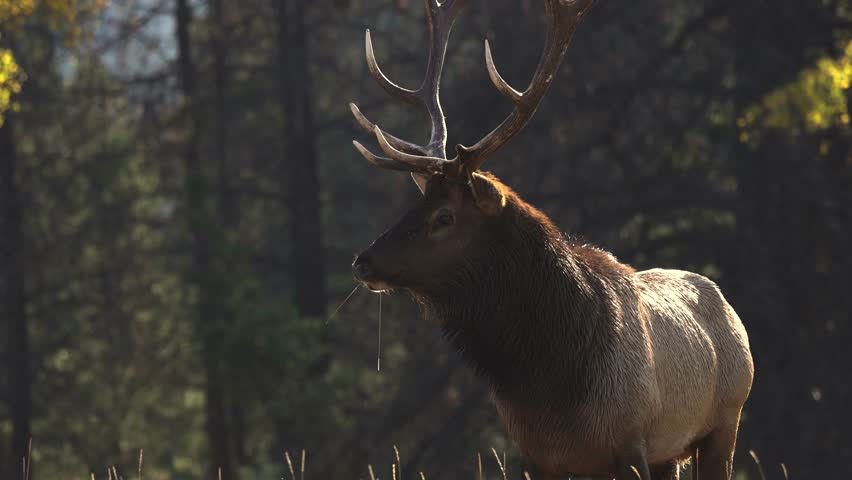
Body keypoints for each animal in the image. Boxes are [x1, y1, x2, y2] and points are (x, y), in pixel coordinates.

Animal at [348, 1, 754, 479]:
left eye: (444, 216)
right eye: (417, 202)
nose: (363, 261)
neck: (549, 386)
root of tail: (730, 311)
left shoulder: (629, 442)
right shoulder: (535, 454)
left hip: (726, 420)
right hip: (670, 453)